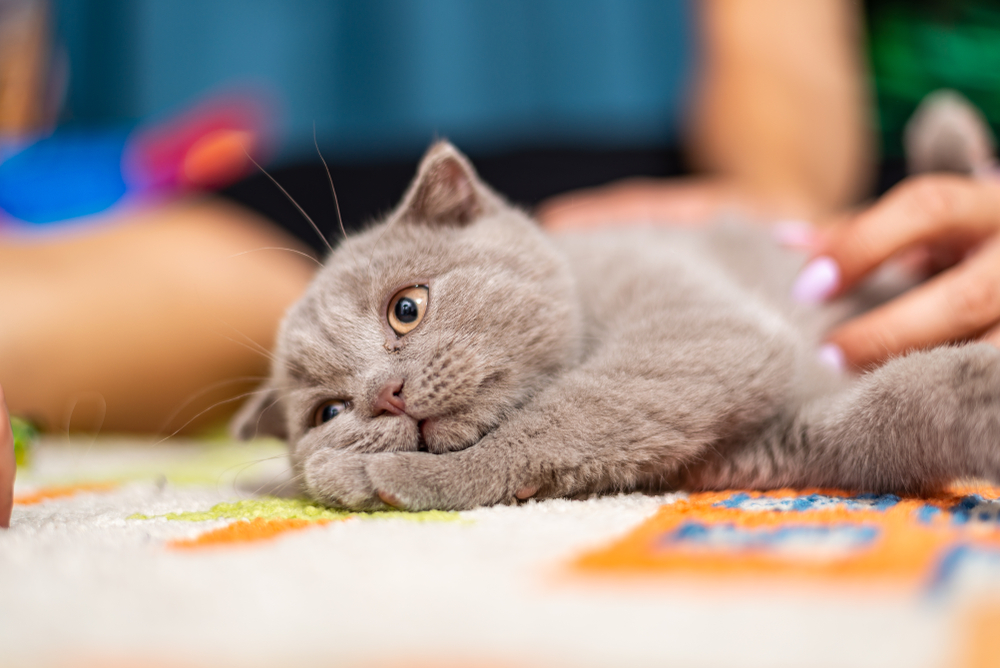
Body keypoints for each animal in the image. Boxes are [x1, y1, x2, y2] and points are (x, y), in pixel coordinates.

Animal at [232, 138, 1000, 508]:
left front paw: (392, 474)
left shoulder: (697, 328)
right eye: (330, 412)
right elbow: (888, 412)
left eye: (406, 307)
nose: (385, 395)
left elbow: (568, 412)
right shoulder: (772, 443)